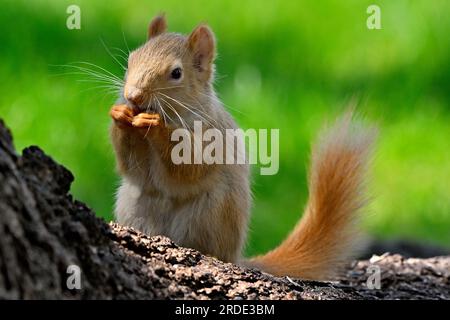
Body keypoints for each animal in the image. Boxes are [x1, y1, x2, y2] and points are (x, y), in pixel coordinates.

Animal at [109, 15, 376, 280]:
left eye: (176, 73)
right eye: (131, 59)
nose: (133, 96)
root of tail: (237, 256)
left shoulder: (212, 137)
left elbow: (189, 165)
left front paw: (156, 127)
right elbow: (131, 166)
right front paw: (120, 116)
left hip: (213, 210)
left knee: (215, 250)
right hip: (132, 204)